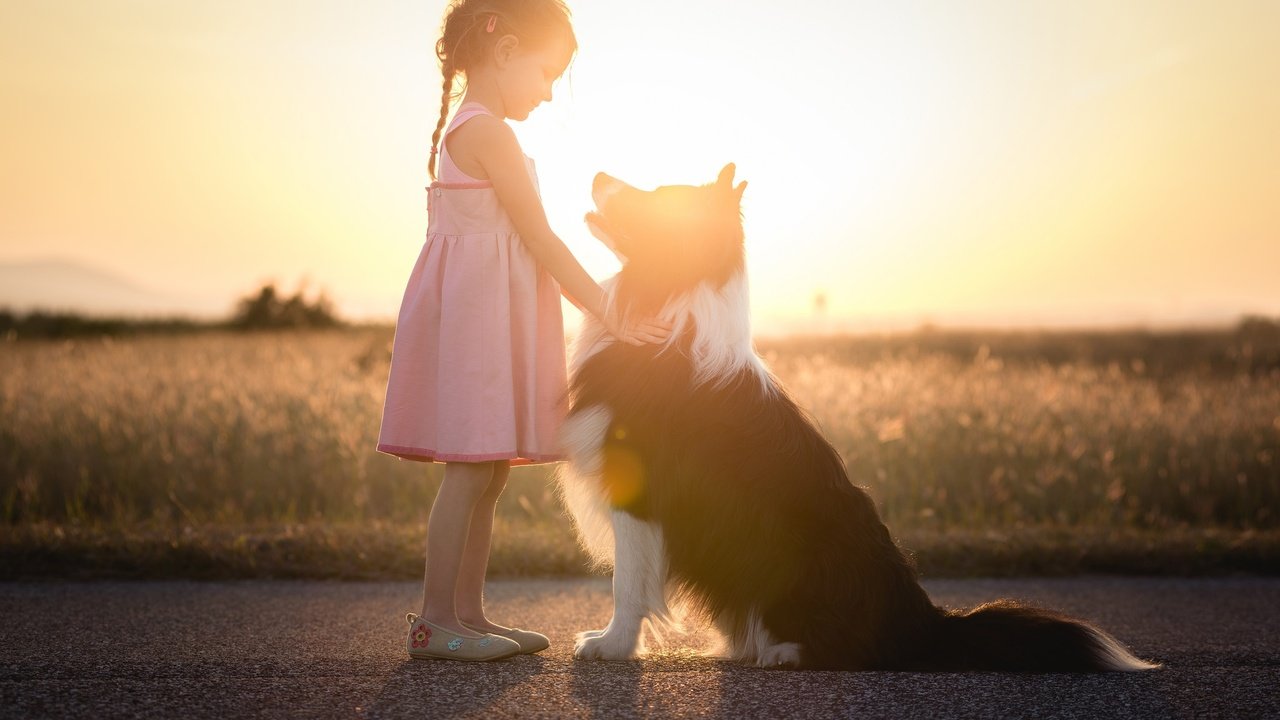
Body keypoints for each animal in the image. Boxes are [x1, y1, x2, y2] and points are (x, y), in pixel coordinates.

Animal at [555, 165, 1157, 671]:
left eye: (657, 196)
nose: (599, 173)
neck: (668, 302)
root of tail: (927, 624)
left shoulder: (636, 488)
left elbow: (627, 583)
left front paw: (610, 646)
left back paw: (783, 652)